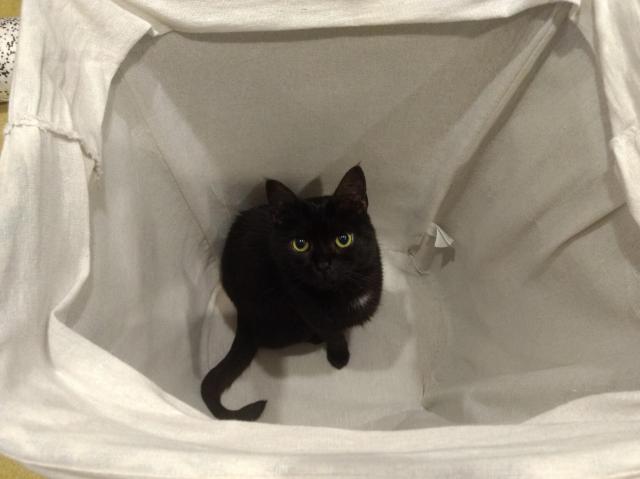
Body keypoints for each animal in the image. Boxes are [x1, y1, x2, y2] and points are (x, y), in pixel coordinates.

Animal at [201, 167, 380, 422]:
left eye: (343, 239)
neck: (342, 290)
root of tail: (241, 317)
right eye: (300, 244)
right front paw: (339, 356)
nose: (323, 264)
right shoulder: (308, 311)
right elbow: (333, 334)